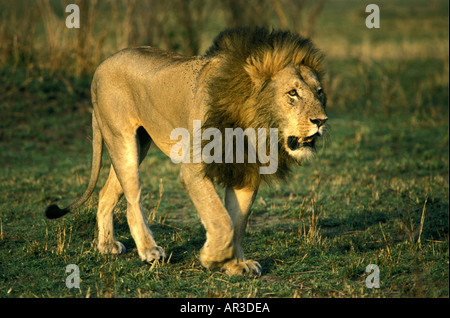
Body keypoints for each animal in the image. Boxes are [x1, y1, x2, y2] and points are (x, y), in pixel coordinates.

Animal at [45, 27, 326, 276]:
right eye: (292, 93)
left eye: (319, 91)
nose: (321, 121)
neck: (257, 126)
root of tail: (101, 65)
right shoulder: (194, 169)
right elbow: (221, 219)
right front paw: (212, 258)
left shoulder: (245, 171)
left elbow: (237, 223)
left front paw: (235, 265)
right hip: (122, 140)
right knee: (133, 199)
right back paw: (149, 250)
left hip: (139, 143)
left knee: (106, 192)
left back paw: (105, 245)